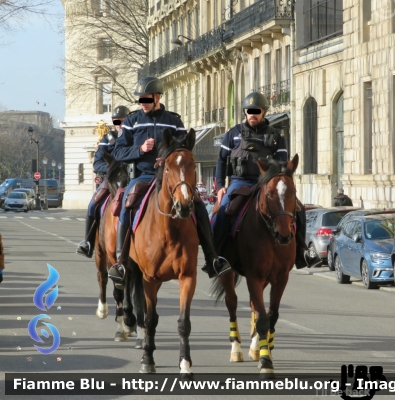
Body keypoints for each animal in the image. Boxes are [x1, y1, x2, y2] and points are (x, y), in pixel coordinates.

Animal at [128, 128, 200, 376]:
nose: (184, 206)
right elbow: (150, 318)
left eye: (193, 166)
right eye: (167, 167)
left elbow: (184, 323)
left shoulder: (187, 277)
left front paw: (185, 363)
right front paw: (147, 359)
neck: (169, 231)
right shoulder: (150, 278)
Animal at [212, 154, 298, 378]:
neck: (269, 233)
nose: (284, 235)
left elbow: (271, 316)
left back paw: (255, 348)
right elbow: (262, 319)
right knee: (232, 303)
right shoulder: (254, 276)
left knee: (253, 306)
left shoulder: (281, 278)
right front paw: (266, 362)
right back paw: (237, 349)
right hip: (227, 272)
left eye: (293, 192)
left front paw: (266, 351)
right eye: (269, 194)